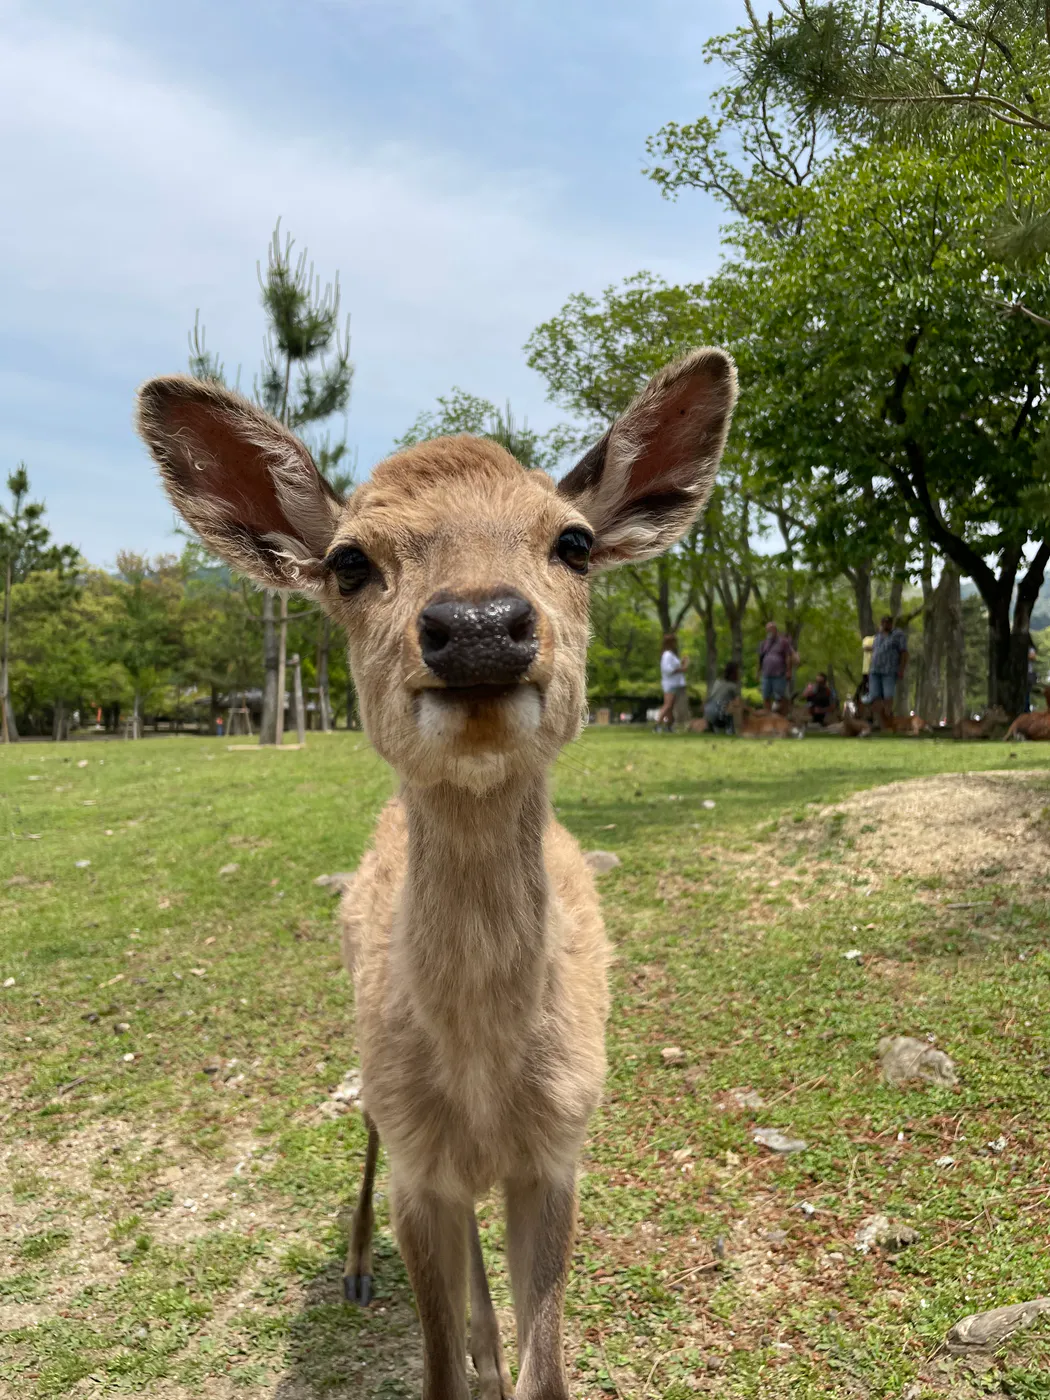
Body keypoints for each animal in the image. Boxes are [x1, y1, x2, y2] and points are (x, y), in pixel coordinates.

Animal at [135, 349, 738, 1400]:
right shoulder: (421, 1164)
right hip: (376, 1076)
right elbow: (436, 1368)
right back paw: (359, 1270)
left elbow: (547, 1369)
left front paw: (509, 1360)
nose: (482, 624)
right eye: (350, 561)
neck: (492, 1088)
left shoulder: (561, 1148)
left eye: (574, 542)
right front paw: (449, 1339)